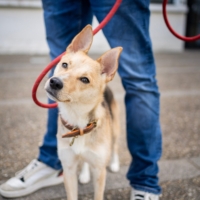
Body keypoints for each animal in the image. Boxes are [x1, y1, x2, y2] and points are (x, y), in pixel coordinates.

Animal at [44, 25, 122, 200]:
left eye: (85, 79)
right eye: (65, 64)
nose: (55, 82)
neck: (77, 120)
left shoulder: (99, 171)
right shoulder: (68, 169)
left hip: (115, 129)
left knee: (115, 146)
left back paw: (114, 164)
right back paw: (85, 175)